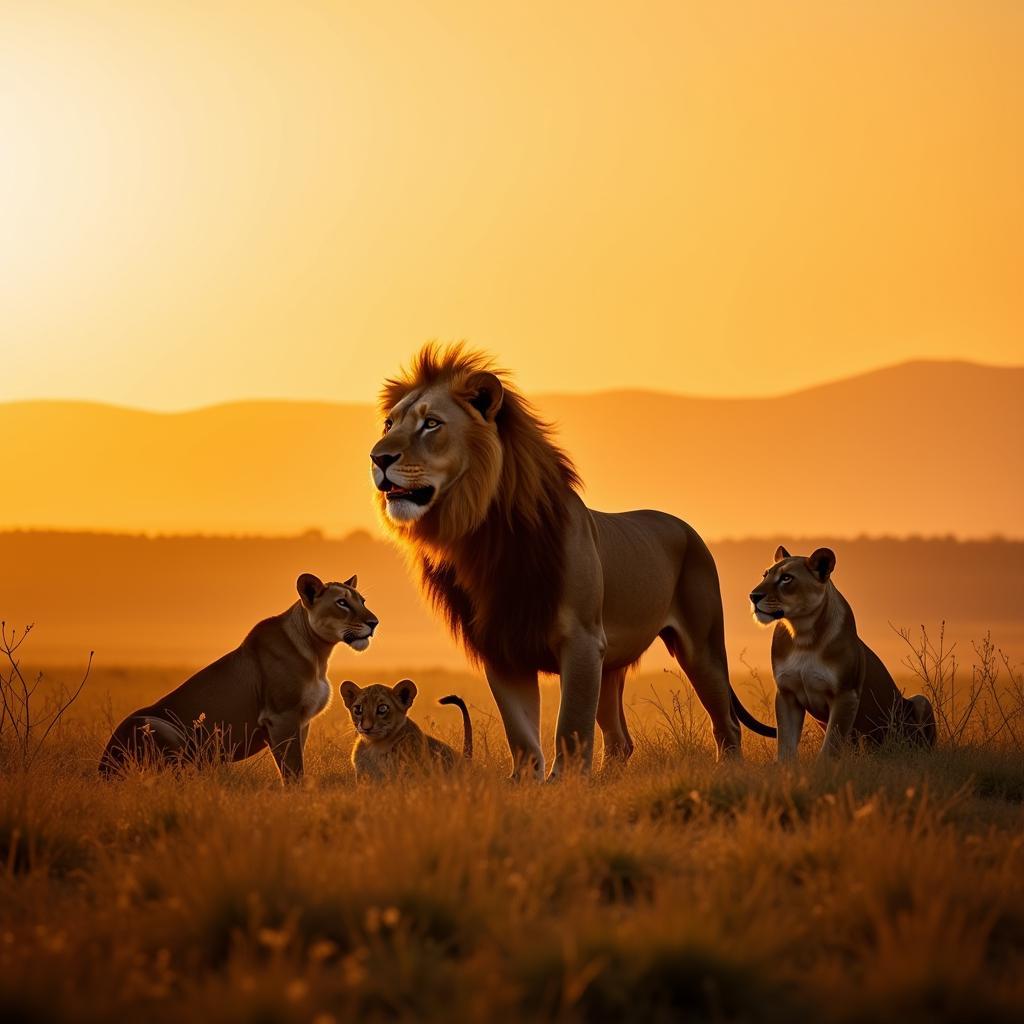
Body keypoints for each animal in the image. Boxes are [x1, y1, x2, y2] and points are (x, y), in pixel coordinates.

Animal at [97, 573, 378, 778]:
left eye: (363, 601)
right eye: (342, 603)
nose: (374, 622)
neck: (319, 653)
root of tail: (103, 767)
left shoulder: (302, 721)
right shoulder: (281, 716)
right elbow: (292, 770)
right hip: (156, 725)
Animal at [368, 344, 774, 774]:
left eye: (431, 424)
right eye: (389, 423)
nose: (377, 457)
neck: (485, 536)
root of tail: (684, 527)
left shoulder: (581, 641)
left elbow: (571, 726)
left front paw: (564, 782)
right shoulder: (503, 648)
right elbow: (522, 734)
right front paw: (526, 782)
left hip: (700, 647)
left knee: (726, 722)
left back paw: (728, 768)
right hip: (612, 664)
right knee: (620, 740)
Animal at [753, 544, 937, 761]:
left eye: (786, 578)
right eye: (765, 575)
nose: (753, 596)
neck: (803, 636)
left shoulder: (846, 694)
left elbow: (831, 744)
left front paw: (823, 768)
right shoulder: (787, 693)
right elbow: (786, 743)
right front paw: (785, 767)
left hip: (920, 702)